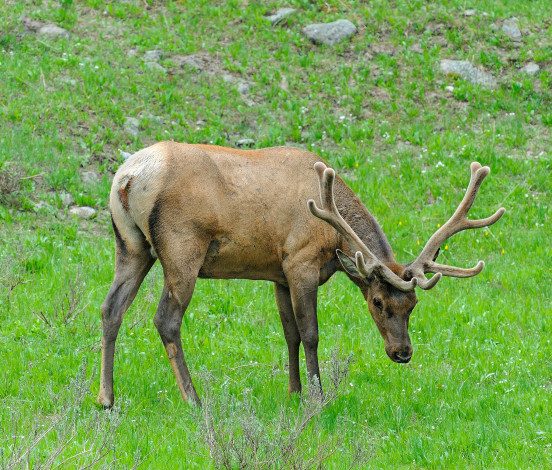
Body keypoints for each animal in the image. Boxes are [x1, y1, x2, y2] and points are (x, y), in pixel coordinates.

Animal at [96, 141, 504, 406]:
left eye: (413, 305)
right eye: (377, 302)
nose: (402, 352)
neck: (332, 233)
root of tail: (126, 177)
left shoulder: (278, 272)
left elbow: (289, 333)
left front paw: (293, 392)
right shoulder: (300, 262)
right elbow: (310, 333)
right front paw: (317, 397)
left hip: (130, 245)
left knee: (110, 308)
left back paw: (106, 397)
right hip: (182, 246)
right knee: (166, 319)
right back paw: (193, 399)